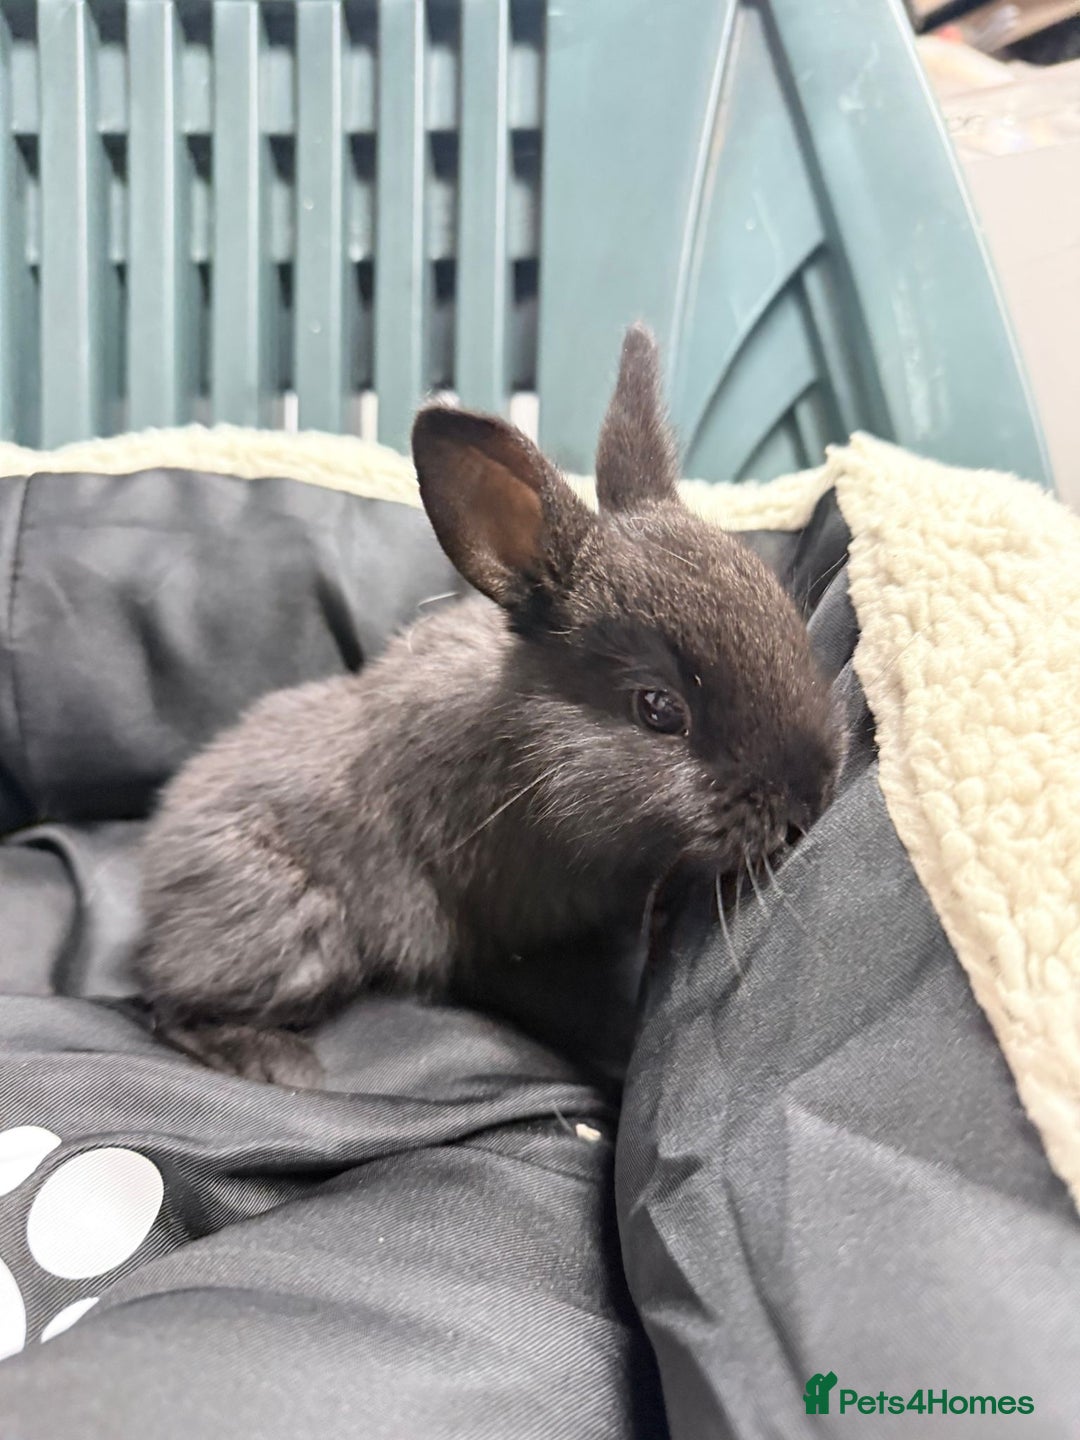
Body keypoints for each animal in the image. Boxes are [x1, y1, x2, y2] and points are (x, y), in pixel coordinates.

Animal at [133, 325, 845, 1086]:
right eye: (658, 709)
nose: (811, 795)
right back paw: (275, 1062)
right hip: (290, 935)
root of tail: (156, 875)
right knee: (169, 1005)